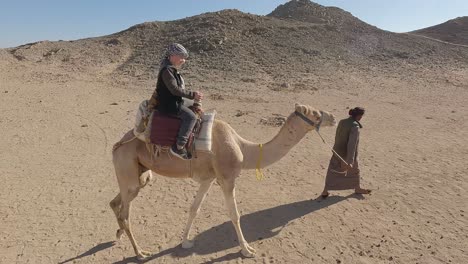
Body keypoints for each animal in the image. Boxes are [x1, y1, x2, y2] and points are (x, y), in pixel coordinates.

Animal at [110, 103, 336, 260]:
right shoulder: (227, 179)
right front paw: (247, 250)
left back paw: (119, 234)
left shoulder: (209, 179)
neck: (243, 147)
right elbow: (234, 215)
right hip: (128, 167)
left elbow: (194, 209)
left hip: (140, 174)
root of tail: (117, 144)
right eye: (316, 114)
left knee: (116, 202)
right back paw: (140, 253)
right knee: (125, 213)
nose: (333, 117)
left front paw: (185, 242)